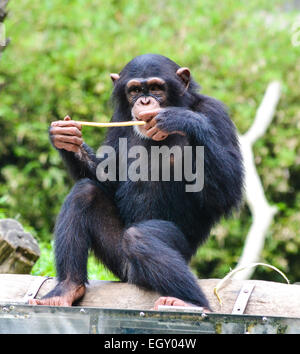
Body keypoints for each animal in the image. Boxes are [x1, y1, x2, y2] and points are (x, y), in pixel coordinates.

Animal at [28, 53, 244, 310]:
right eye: (134, 90)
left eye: (156, 88)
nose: (144, 101)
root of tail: (130, 275)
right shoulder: (117, 121)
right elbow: (107, 177)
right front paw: (66, 138)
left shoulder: (216, 112)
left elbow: (226, 194)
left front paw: (182, 119)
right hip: (118, 263)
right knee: (85, 192)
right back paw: (67, 288)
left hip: (178, 254)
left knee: (140, 238)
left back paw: (190, 302)